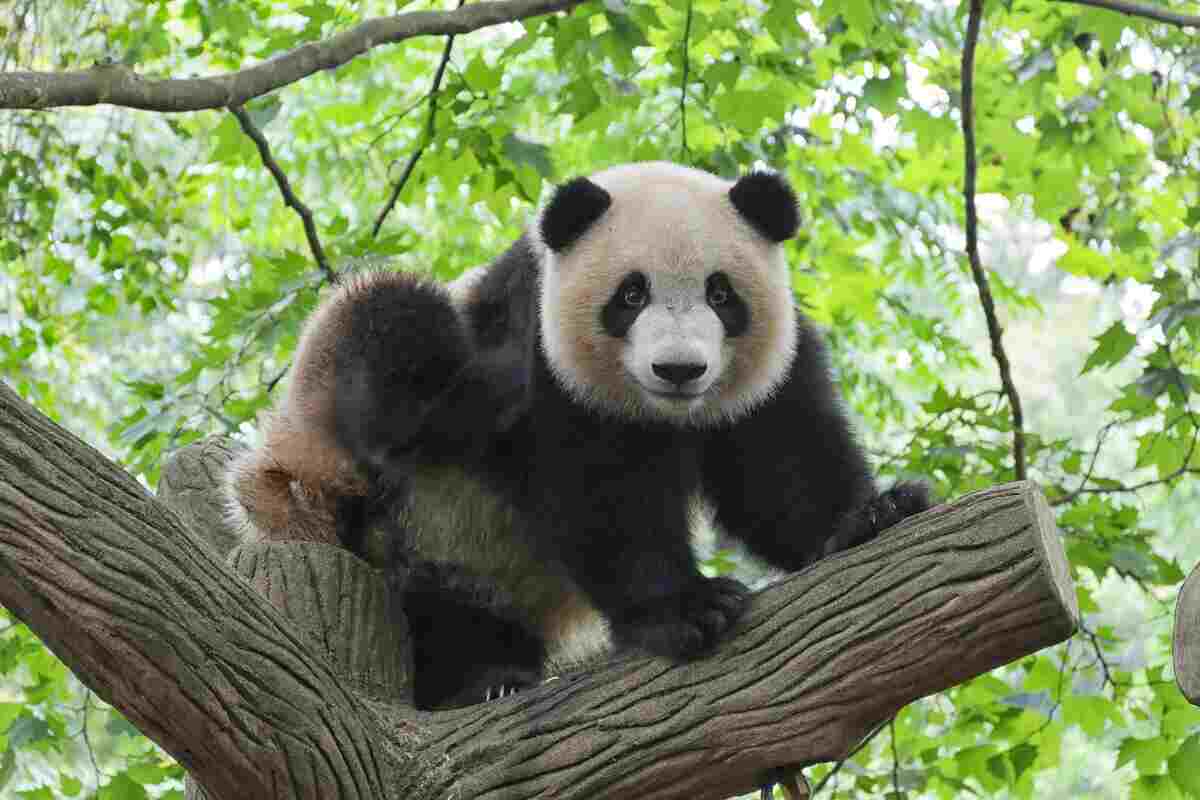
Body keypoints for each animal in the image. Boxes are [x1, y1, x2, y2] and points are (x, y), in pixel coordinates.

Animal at [226, 160, 936, 705]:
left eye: (721, 294)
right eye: (631, 295)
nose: (679, 369)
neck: (664, 414)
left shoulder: (762, 374)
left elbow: (778, 467)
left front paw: (871, 515)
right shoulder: (545, 360)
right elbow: (600, 494)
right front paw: (687, 609)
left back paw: (493, 669)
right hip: (366, 474)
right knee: (390, 323)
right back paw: (475, 682)